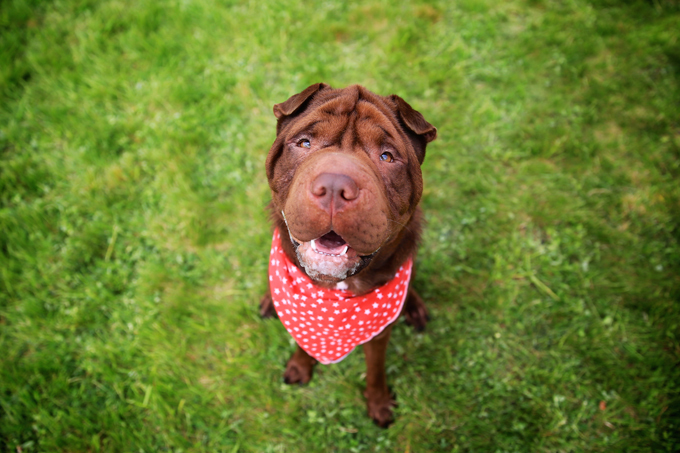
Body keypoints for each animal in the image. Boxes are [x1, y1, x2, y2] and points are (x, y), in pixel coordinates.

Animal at [260, 83, 436, 426]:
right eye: (304, 142)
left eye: (387, 156)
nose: (333, 185)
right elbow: (304, 339)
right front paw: (300, 366)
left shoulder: (379, 335)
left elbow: (375, 370)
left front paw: (379, 403)